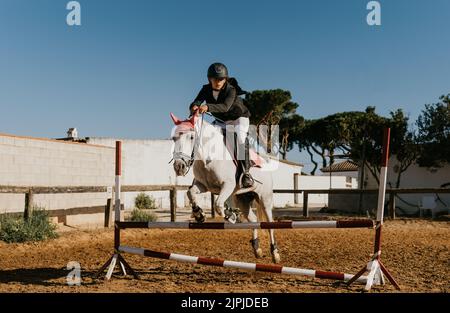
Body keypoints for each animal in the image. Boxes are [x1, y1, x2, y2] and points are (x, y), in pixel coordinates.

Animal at [170, 112, 282, 264]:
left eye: (192, 137)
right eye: (174, 138)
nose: (179, 167)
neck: (207, 156)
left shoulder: (228, 185)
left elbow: (218, 205)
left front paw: (231, 216)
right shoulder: (203, 185)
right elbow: (190, 193)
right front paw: (199, 215)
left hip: (265, 199)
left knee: (270, 224)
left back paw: (275, 253)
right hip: (242, 199)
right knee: (253, 220)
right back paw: (257, 249)